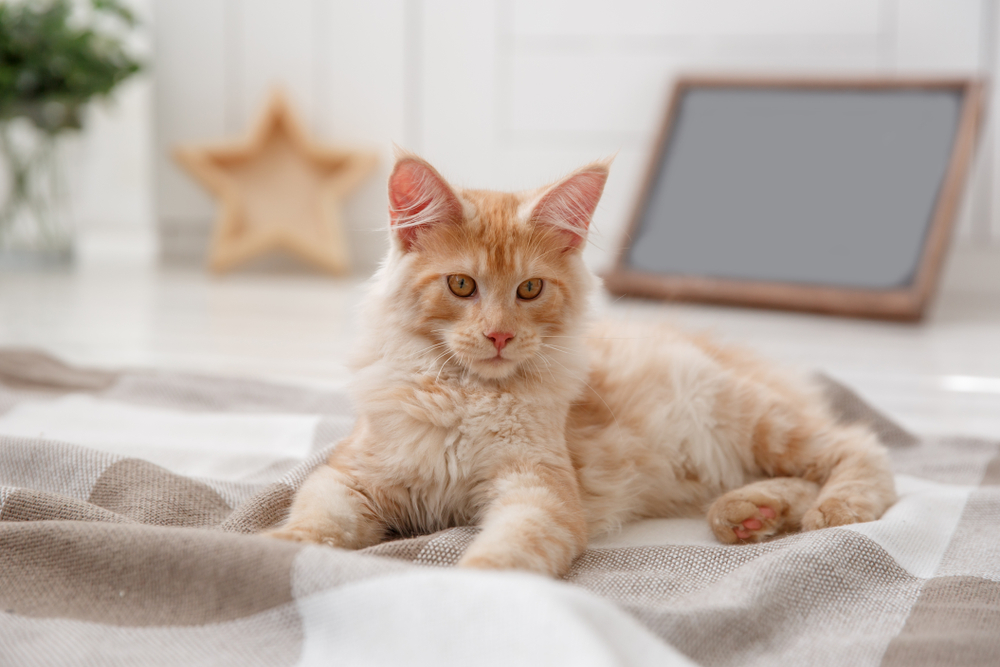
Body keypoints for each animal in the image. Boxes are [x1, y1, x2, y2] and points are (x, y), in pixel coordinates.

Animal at [266, 153, 900, 580]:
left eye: (529, 289)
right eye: (462, 285)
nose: (499, 335)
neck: (465, 396)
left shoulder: (539, 491)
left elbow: (508, 551)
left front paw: (476, 582)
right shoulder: (351, 476)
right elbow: (318, 520)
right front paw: (281, 546)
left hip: (752, 420)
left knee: (859, 447)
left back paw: (832, 507)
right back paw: (750, 514)